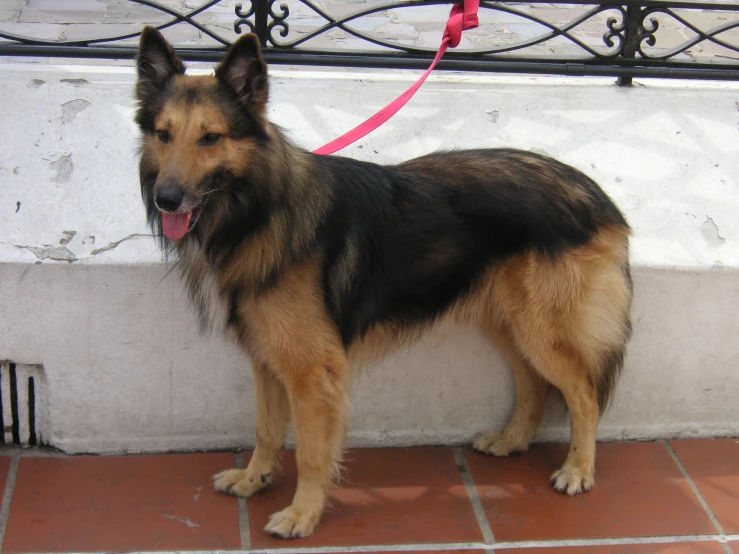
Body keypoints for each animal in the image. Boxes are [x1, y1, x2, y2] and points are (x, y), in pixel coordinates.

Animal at [136, 27, 632, 540]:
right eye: (163, 134)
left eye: (210, 138)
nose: (166, 198)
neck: (258, 209)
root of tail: (597, 196)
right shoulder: (267, 359)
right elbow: (266, 429)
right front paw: (255, 479)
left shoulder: (313, 373)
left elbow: (311, 453)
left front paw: (302, 514)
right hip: (508, 323)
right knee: (534, 383)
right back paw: (512, 440)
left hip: (542, 330)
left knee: (584, 396)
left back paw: (578, 469)